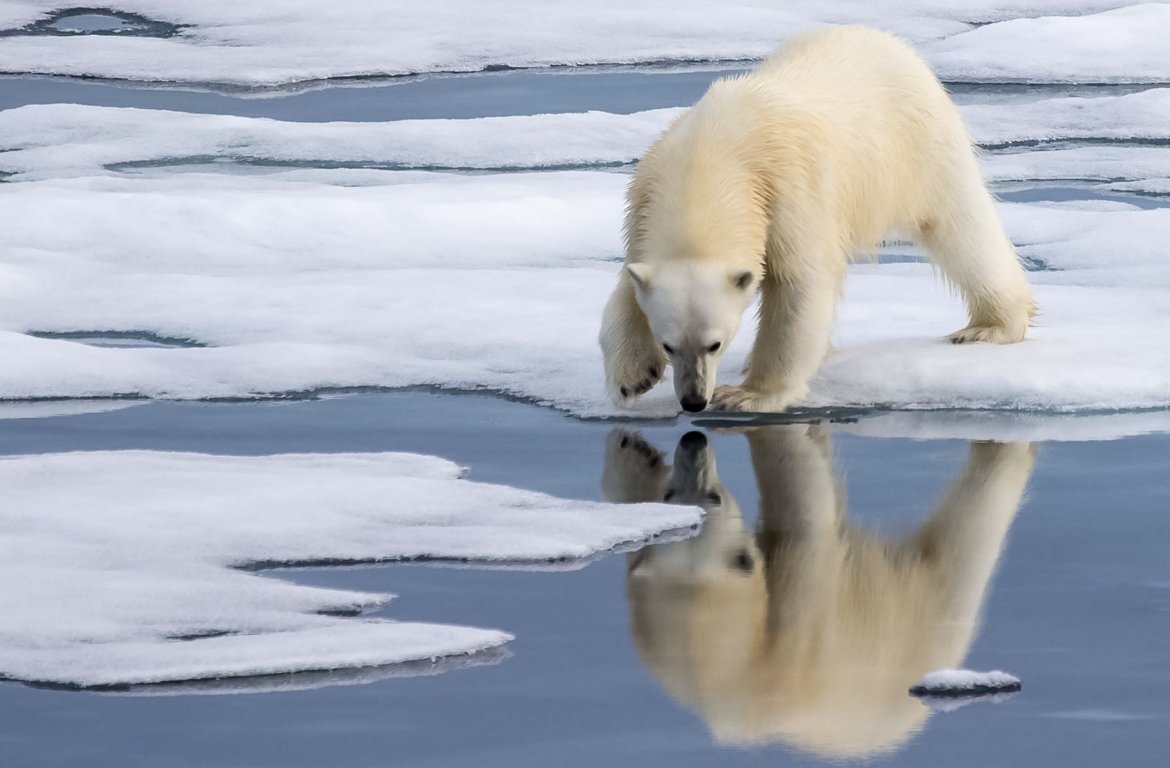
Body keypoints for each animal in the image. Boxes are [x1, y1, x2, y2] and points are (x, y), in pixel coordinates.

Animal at [603, 28, 1034, 414]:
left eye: (715, 343)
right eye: (668, 344)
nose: (693, 400)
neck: (708, 160)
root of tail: (887, 41)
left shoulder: (787, 191)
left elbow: (800, 283)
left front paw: (747, 395)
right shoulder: (642, 204)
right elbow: (625, 290)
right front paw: (631, 377)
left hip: (918, 145)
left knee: (959, 227)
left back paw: (990, 326)